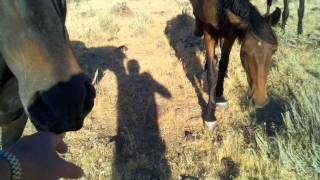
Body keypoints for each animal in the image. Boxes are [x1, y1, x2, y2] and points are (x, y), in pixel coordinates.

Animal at [190, 0, 280, 129]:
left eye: (274, 50)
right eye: (244, 53)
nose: (260, 99)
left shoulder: (230, 34)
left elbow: (223, 64)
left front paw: (220, 96)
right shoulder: (209, 33)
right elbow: (212, 73)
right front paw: (210, 114)